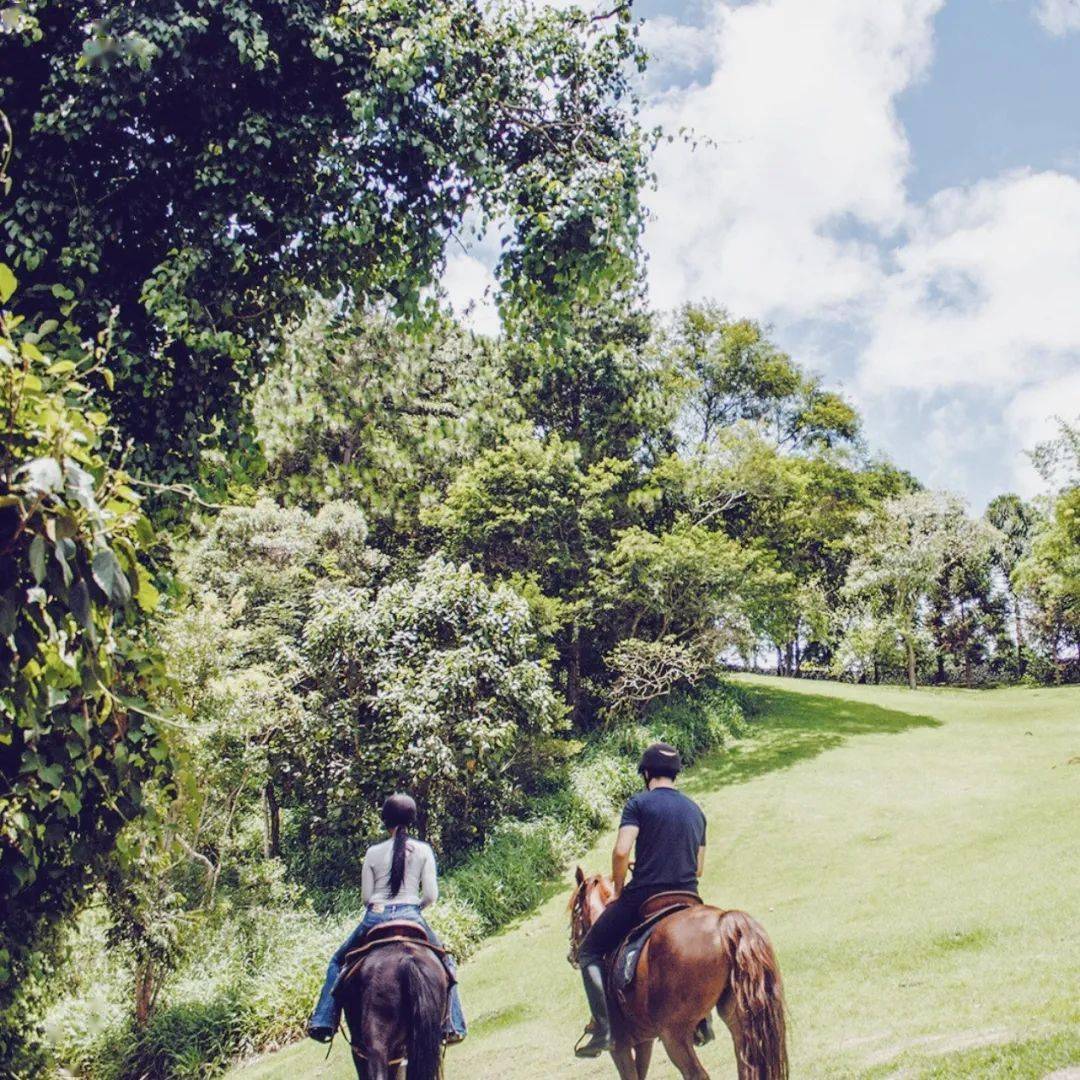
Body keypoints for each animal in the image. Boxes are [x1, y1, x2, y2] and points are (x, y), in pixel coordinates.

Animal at [570, 868, 790, 1080]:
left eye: (574, 914)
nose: (571, 955)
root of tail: (723, 920)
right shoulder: (644, 1041)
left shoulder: (620, 1046)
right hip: (737, 1016)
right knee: (746, 1064)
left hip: (673, 1033)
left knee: (696, 1074)